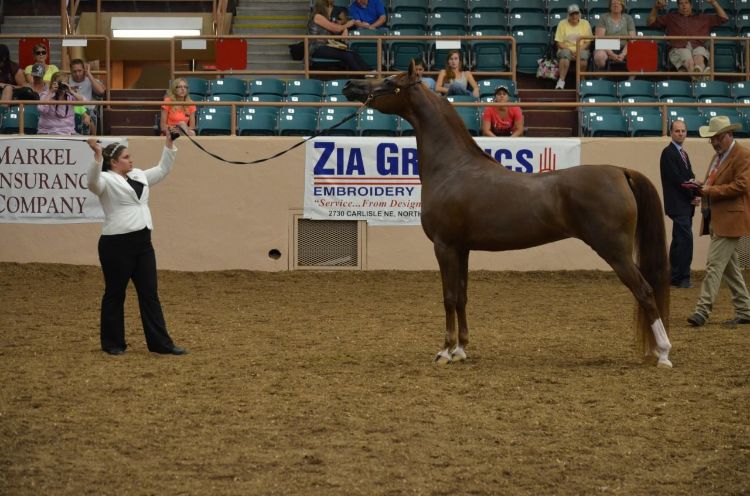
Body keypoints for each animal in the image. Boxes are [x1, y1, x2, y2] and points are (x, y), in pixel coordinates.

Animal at [342, 62, 673, 368]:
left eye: (389, 81)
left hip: (615, 252)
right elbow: (461, 296)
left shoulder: (444, 246)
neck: (452, 167)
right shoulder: (462, 249)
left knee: (645, 291)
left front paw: (445, 352)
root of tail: (620, 171)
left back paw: (664, 353)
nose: (349, 84)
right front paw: (461, 350)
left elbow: (448, 297)